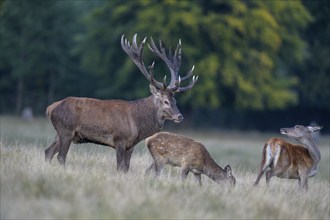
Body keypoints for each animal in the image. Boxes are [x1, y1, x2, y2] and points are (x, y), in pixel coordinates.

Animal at [44, 33, 197, 173]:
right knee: (61, 156)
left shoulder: (131, 145)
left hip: (61, 133)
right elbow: (119, 167)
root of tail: (50, 108)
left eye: (175, 100)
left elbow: (126, 168)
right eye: (165, 101)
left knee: (48, 151)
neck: (137, 124)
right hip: (66, 130)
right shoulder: (119, 140)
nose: (180, 116)